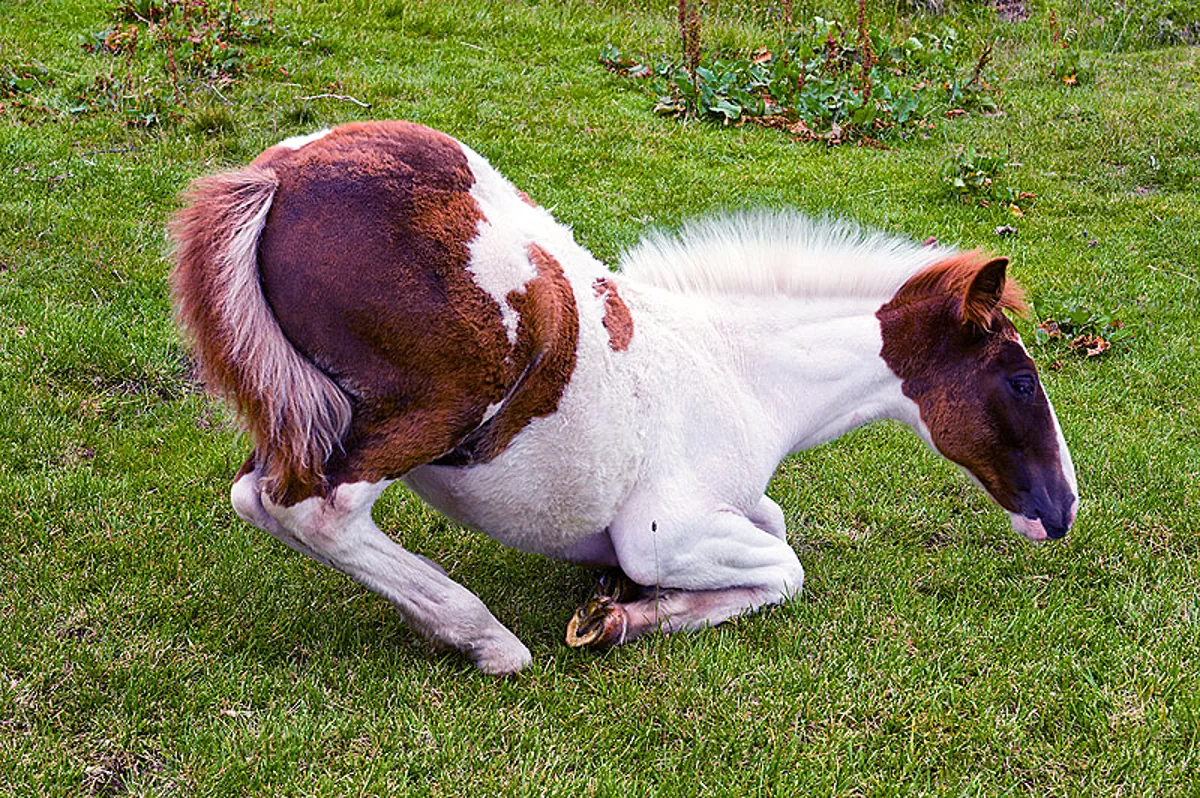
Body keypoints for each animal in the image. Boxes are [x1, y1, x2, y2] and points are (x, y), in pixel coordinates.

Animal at [170, 121, 1078, 675]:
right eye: (1022, 379)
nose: (1063, 508)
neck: (741, 372)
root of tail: (276, 174)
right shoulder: (662, 531)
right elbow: (785, 568)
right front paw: (625, 615)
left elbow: (773, 529)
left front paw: (621, 609)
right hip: (436, 406)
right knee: (310, 507)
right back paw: (487, 639)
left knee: (254, 494)